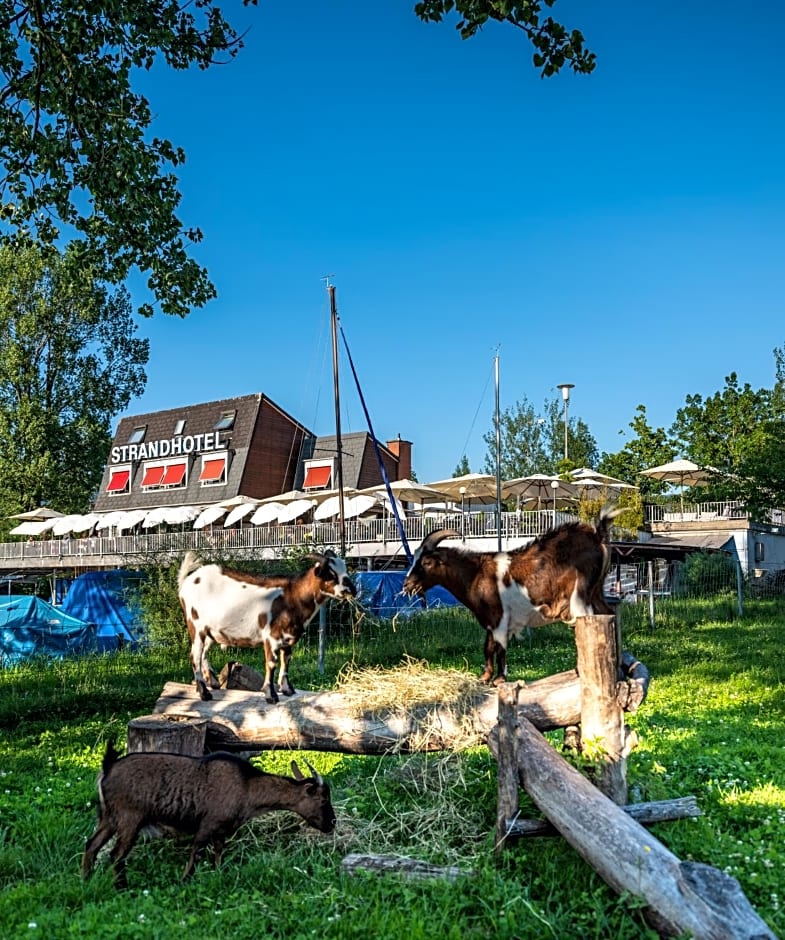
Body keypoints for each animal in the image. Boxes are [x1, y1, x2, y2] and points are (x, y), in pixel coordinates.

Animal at [82, 740, 334, 888]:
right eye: (323, 799)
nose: (332, 823)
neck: (247, 785)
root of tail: (107, 768)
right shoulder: (208, 824)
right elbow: (196, 853)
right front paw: (184, 881)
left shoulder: (221, 830)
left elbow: (218, 853)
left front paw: (217, 873)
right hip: (129, 819)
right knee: (116, 854)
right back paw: (122, 887)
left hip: (108, 818)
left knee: (91, 845)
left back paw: (86, 879)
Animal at [178, 552, 356, 704]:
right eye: (330, 574)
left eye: (345, 569)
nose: (352, 590)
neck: (293, 597)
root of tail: (187, 582)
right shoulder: (271, 637)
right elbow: (271, 663)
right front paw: (271, 695)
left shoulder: (288, 638)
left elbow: (286, 661)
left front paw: (287, 690)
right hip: (196, 626)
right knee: (195, 656)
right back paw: (204, 693)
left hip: (210, 632)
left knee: (203, 654)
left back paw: (212, 683)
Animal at [404, 506, 620, 684]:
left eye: (427, 563)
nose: (407, 585)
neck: (475, 574)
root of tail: (597, 535)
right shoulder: (490, 619)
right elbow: (488, 646)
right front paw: (485, 677)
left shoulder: (500, 616)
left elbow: (499, 647)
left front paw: (499, 679)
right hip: (596, 592)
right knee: (609, 614)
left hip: (580, 596)